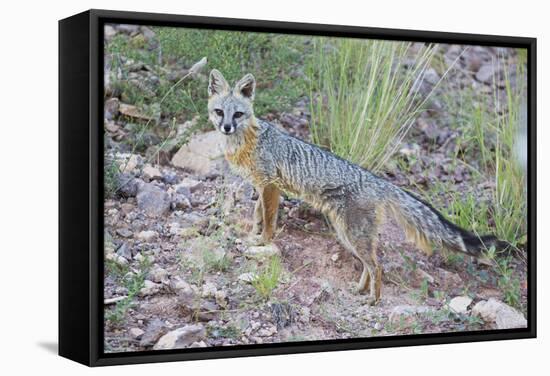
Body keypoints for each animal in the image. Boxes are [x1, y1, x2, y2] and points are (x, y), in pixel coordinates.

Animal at [209, 69, 512, 304]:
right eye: (219, 112)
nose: (226, 127)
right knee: (370, 264)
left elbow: (269, 220)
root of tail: (379, 181)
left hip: (353, 234)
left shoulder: (270, 185)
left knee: (377, 266)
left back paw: (374, 300)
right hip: (349, 235)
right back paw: (359, 290)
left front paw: (263, 241)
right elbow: (257, 214)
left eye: (238, 114)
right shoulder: (261, 186)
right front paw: (253, 235)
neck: (245, 143)